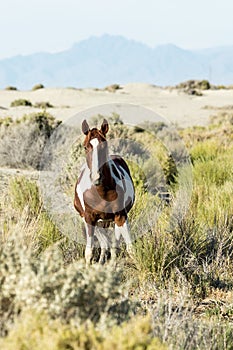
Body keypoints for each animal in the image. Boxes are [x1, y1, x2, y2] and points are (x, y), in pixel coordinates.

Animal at [73, 119, 136, 264]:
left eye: (104, 145)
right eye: (85, 147)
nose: (96, 177)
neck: (102, 192)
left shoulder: (121, 216)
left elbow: (130, 249)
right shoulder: (89, 218)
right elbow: (89, 252)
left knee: (112, 244)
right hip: (93, 221)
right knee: (104, 243)